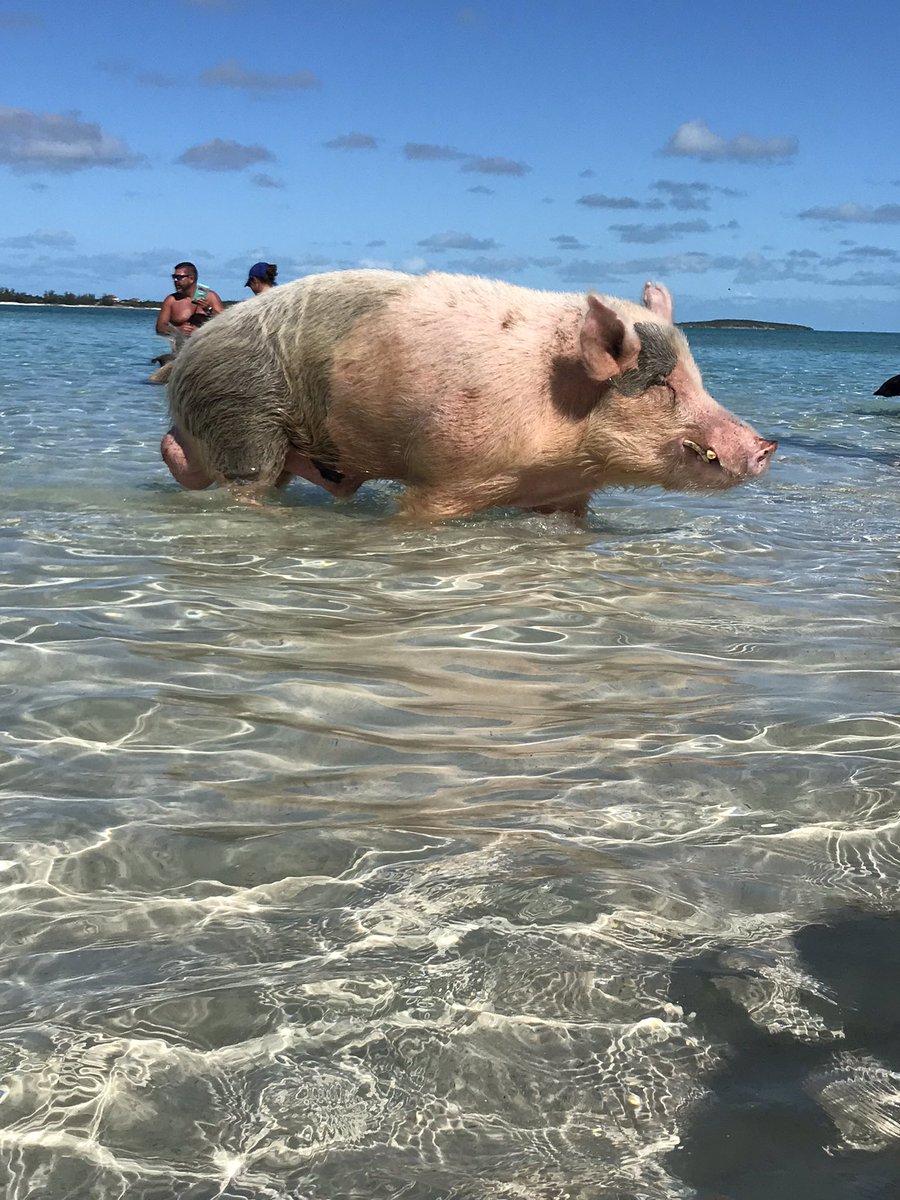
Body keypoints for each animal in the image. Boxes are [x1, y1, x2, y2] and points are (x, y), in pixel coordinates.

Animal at [161, 270, 776, 522]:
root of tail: (187, 357)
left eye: (698, 376)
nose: (765, 445)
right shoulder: (448, 478)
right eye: (664, 384)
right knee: (243, 481)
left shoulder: (567, 496)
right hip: (243, 418)